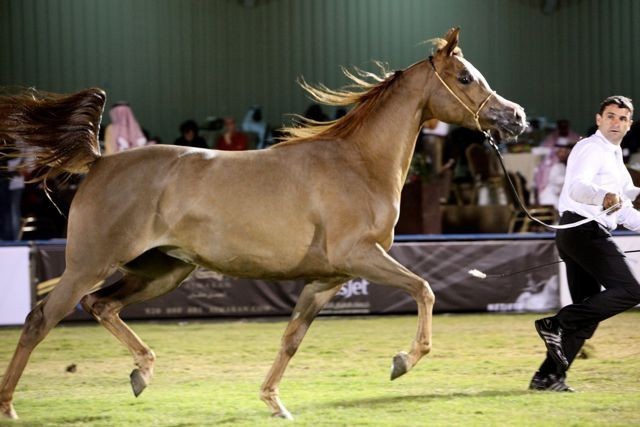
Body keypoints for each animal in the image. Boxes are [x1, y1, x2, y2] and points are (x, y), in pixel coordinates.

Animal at [0, 28, 526, 420]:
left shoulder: (328, 278)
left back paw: (142, 373)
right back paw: (10, 407)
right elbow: (424, 289)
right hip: (89, 264)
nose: (516, 117)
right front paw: (402, 361)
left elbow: (291, 338)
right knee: (39, 320)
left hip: (162, 270)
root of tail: (100, 162)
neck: (357, 163)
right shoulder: (360, 256)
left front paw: (274, 402)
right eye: (465, 77)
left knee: (101, 306)